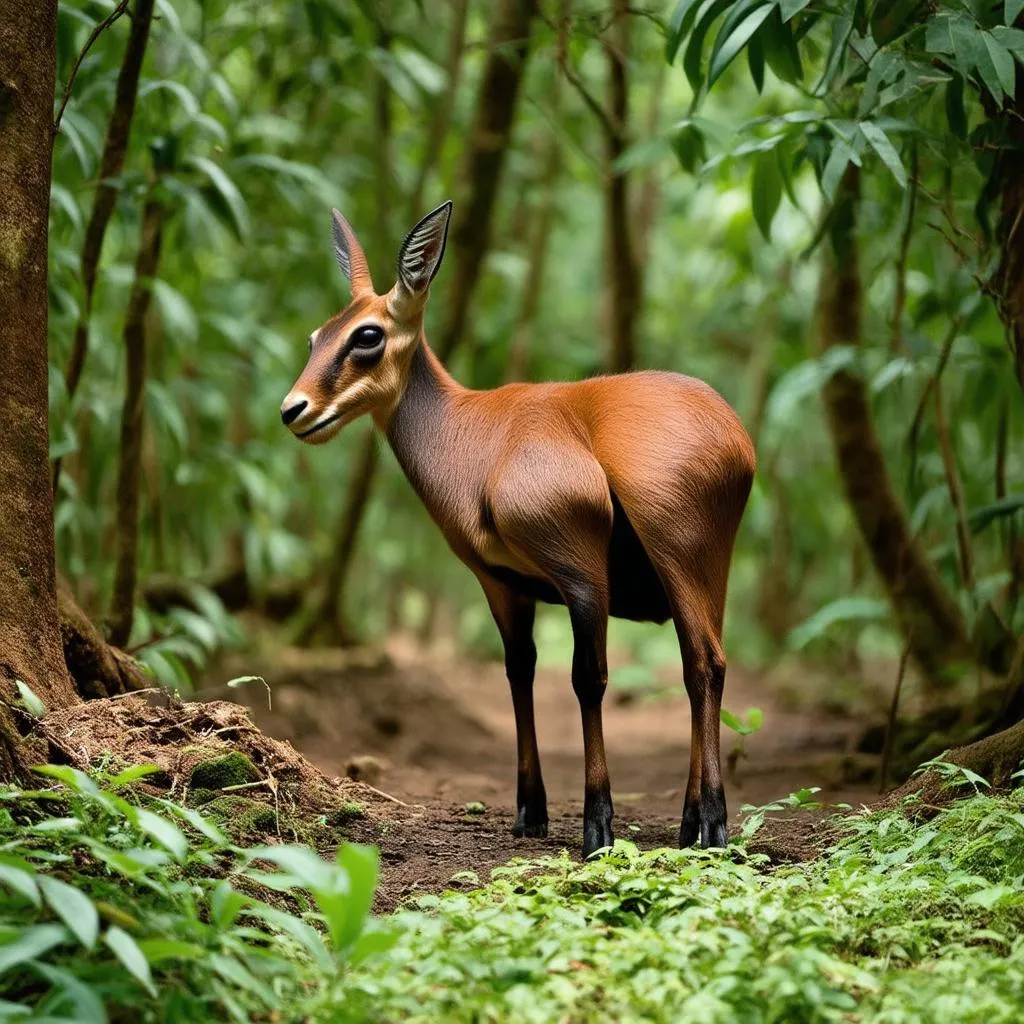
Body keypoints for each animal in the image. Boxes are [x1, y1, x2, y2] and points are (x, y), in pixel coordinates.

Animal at [284, 199, 757, 856]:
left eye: (368, 335)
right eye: (316, 336)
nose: (293, 410)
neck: (473, 439)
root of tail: (736, 438)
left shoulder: (581, 575)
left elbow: (588, 678)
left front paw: (597, 825)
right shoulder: (503, 584)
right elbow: (519, 674)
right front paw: (530, 811)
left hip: (682, 558)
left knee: (704, 664)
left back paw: (710, 824)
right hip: (707, 575)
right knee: (699, 664)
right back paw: (690, 822)